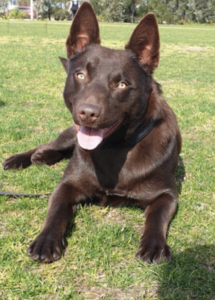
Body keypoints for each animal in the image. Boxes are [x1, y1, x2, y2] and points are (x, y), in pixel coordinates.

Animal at [2, 2, 182, 264]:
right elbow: (56, 211)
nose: (87, 113)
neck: (115, 147)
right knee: (51, 144)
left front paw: (154, 245)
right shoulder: (66, 186)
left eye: (122, 84)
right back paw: (23, 158)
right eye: (80, 75)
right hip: (69, 134)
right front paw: (46, 240)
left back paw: (42, 158)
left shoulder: (167, 195)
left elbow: (156, 216)